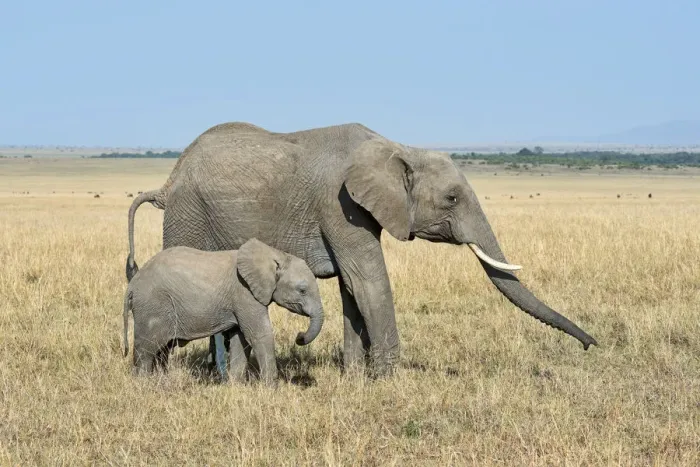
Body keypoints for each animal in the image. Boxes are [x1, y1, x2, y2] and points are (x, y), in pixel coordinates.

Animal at [122, 238, 324, 384]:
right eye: (302, 290)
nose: (299, 336)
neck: (275, 254)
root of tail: (132, 285)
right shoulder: (244, 293)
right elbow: (260, 335)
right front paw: (271, 388)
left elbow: (240, 339)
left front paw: (235, 385)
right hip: (152, 306)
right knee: (147, 349)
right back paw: (143, 384)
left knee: (162, 349)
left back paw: (160, 380)